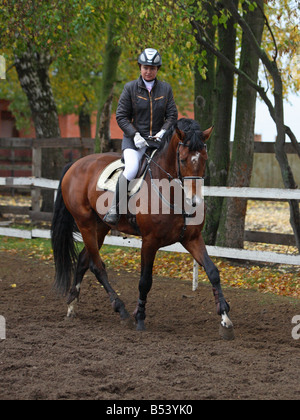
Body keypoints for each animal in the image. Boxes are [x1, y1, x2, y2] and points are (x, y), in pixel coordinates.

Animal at [51, 118, 234, 342]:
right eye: (182, 160)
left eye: (204, 159)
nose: (195, 202)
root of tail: (76, 164)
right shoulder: (149, 242)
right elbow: (145, 281)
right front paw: (139, 318)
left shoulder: (192, 238)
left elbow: (213, 271)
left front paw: (225, 319)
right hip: (85, 223)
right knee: (97, 266)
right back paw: (121, 310)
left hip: (100, 227)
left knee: (84, 260)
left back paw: (71, 306)